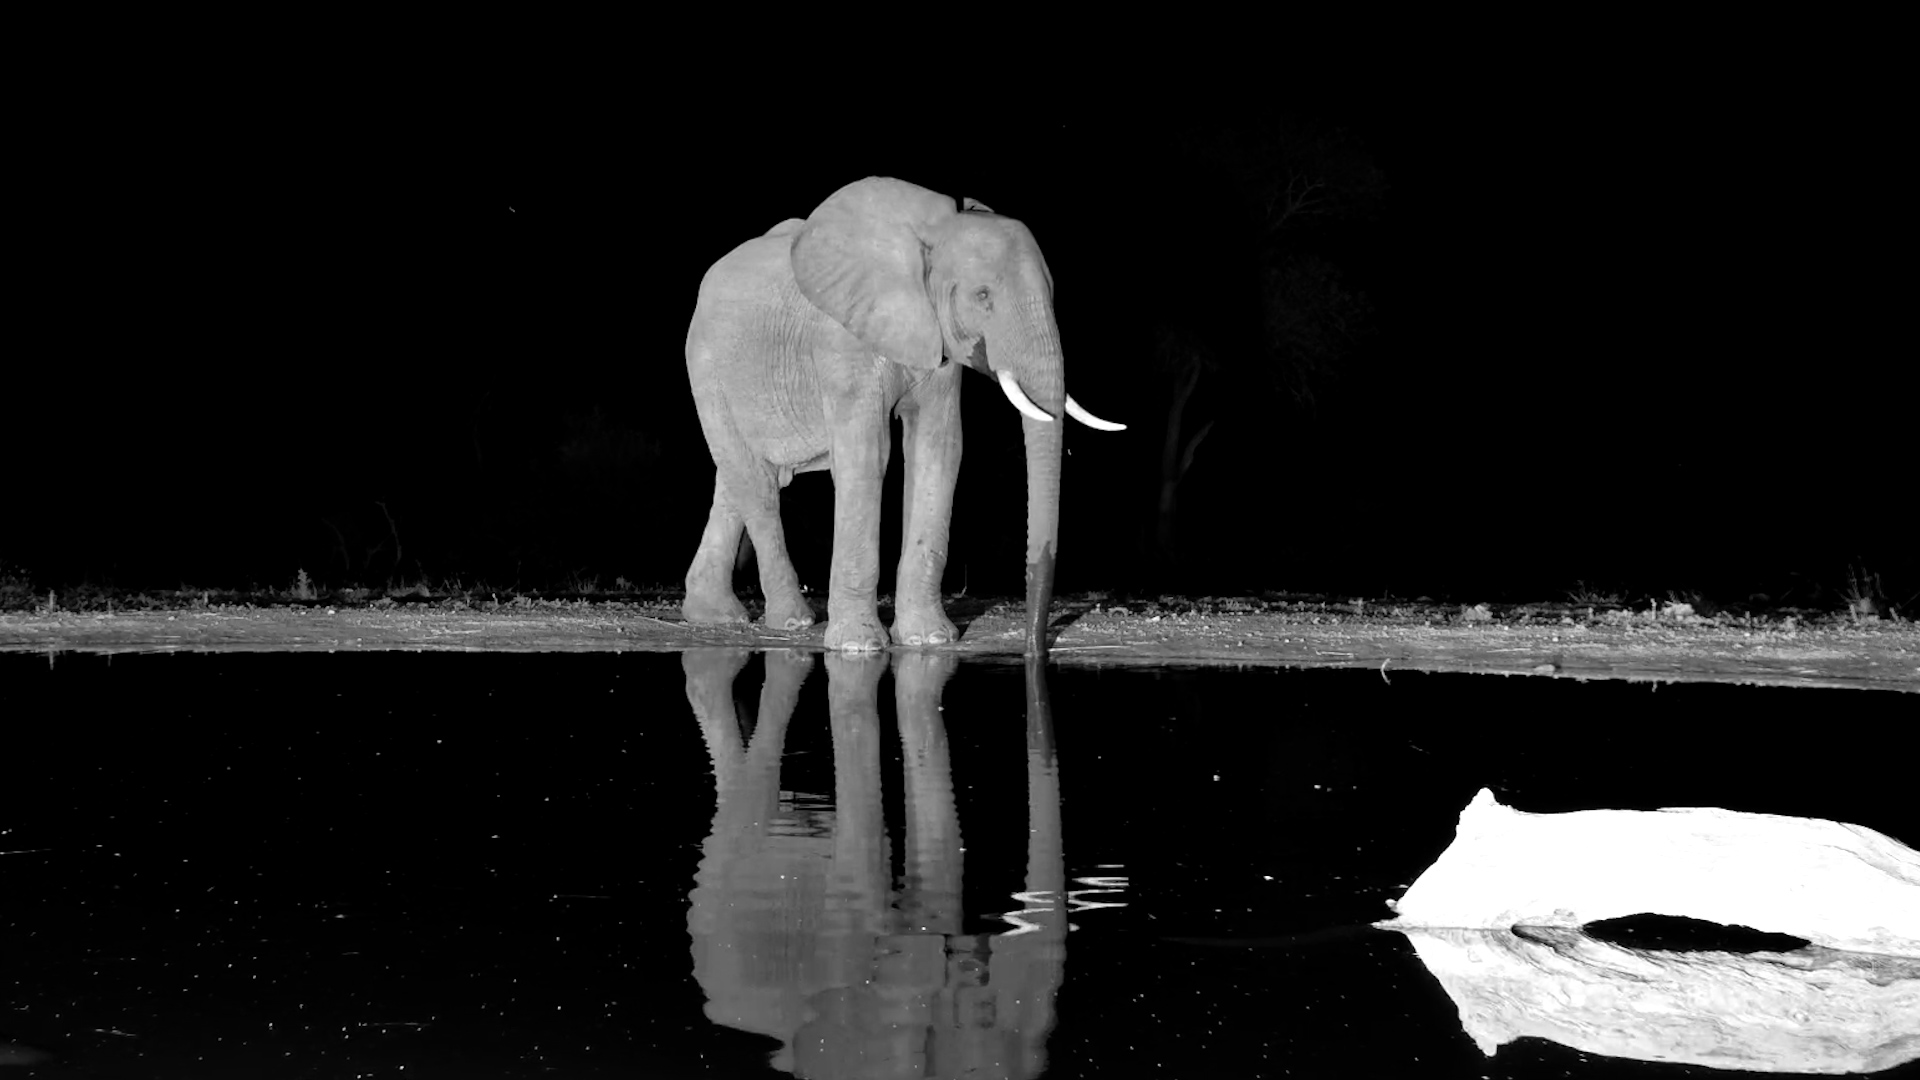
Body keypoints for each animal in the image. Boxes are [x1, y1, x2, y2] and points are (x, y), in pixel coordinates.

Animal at [682, 177, 1123, 653]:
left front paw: (929, 639)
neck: (932, 234)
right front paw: (858, 646)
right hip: (706, 366)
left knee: (734, 480)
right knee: (756, 482)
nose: (1033, 648)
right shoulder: (843, 339)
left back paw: (715, 615)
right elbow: (868, 455)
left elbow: (939, 449)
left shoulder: (940, 348)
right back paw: (793, 623)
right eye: (982, 296)